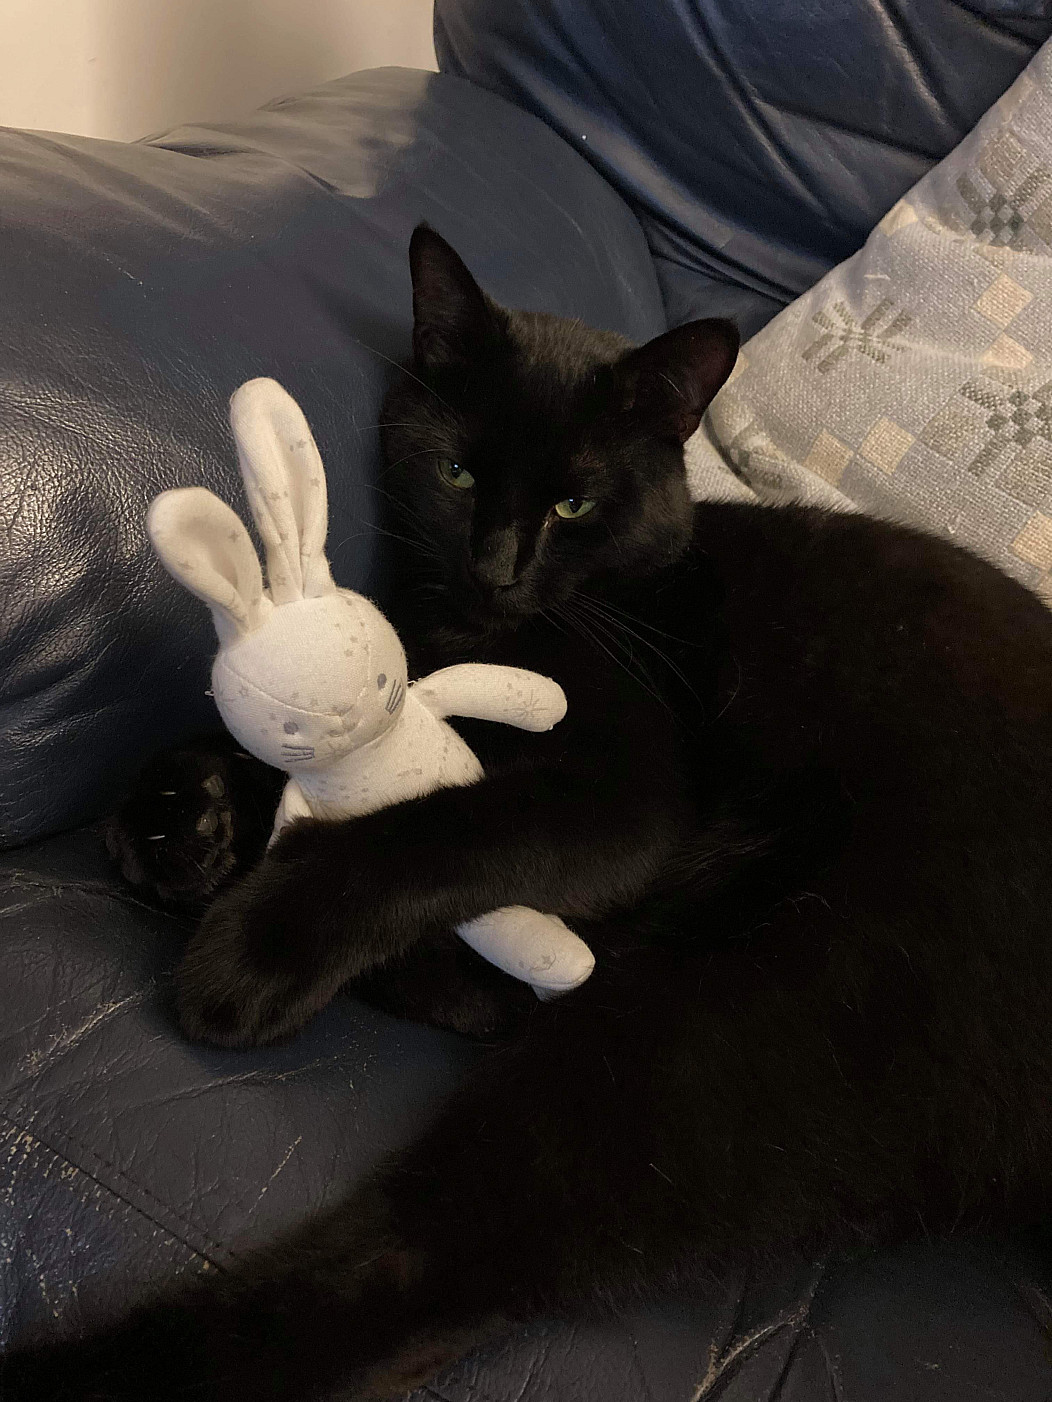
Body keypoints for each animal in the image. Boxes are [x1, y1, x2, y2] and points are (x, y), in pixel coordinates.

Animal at [8, 223, 1052, 1400]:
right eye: (457, 469)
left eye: (573, 505)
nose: (494, 566)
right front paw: (183, 813)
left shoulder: (621, 796)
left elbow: (436, 827)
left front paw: (257, 937)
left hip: (743, 1014)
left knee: (425, 1264)